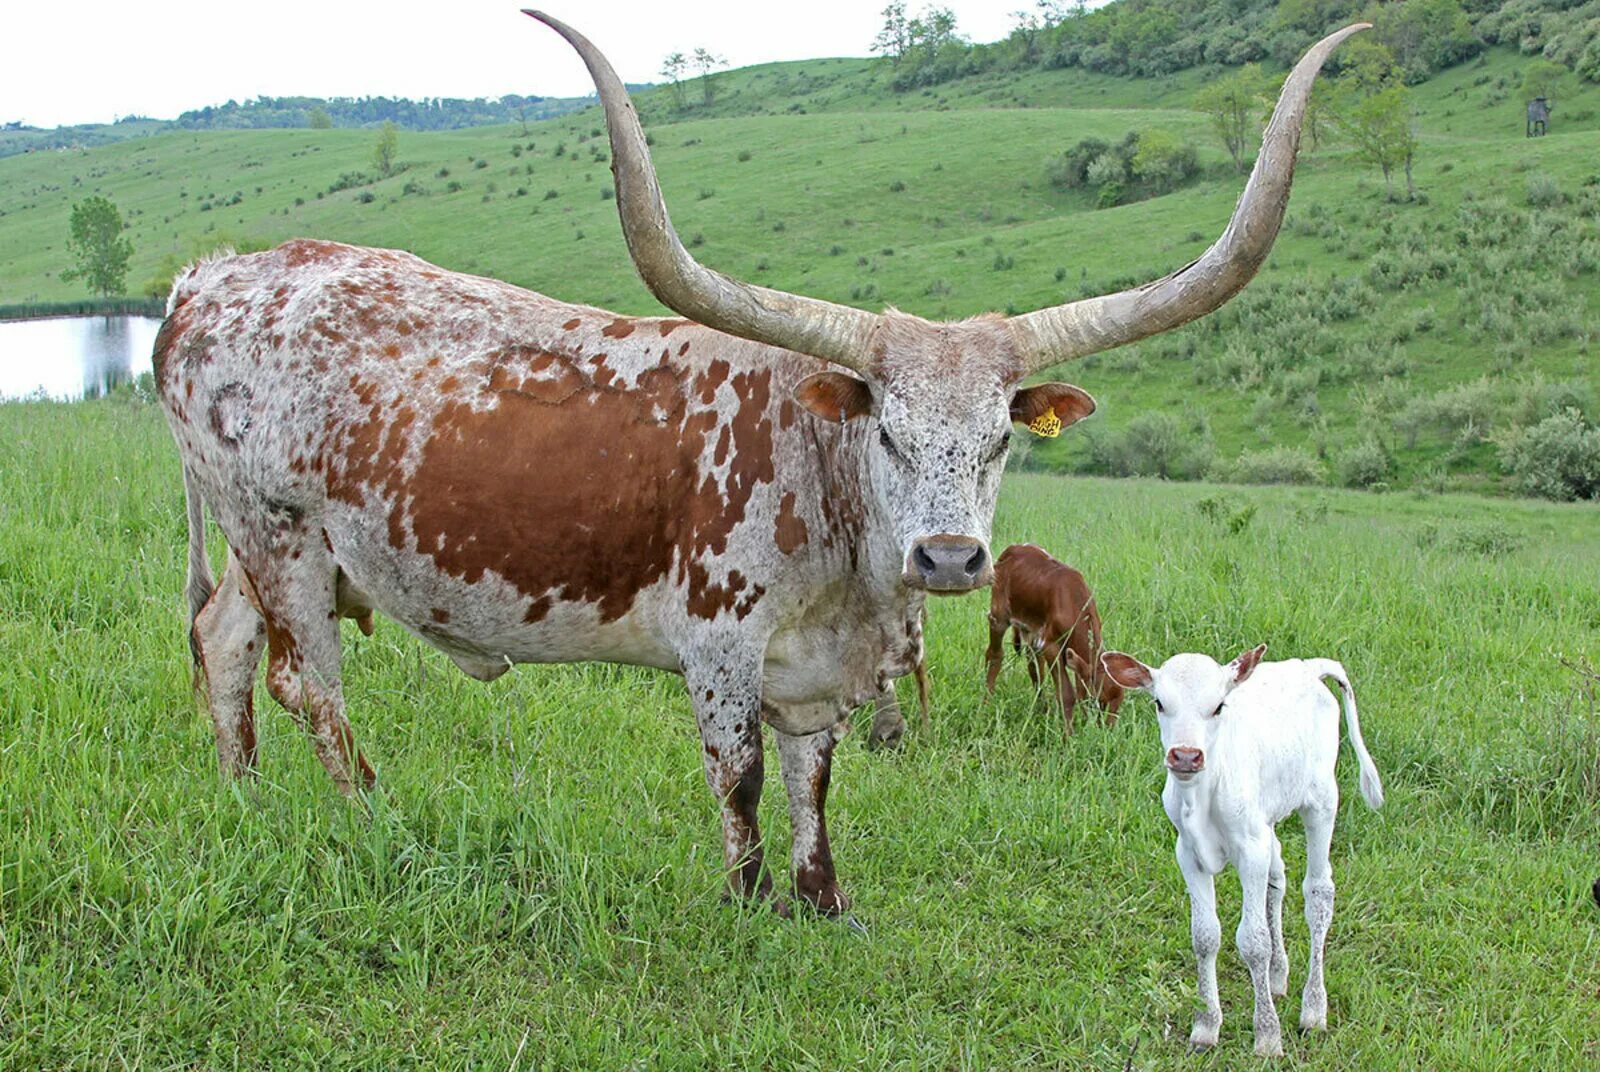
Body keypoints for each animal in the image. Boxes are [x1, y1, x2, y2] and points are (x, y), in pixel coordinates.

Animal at [972, 540, 1126, 736]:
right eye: (1097, 701)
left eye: (1118, 704)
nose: (1106, 733)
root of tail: (1016, 547)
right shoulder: (1050, 645)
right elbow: (1067, 694)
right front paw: (1069, 736)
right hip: (998, 616)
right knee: (995, 655)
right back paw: (985, 705)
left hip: (1030, 629)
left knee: (1034, 666)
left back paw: (1041, 708)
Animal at [1100, 646, 1388, 1056]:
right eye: (1159, 703)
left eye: (1219, 706)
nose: (1185, 756)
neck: (1202, 794)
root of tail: (1308, 667)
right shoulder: (1188, 852)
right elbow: (1205, 935)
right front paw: (1205, 1026)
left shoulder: (1250, 849)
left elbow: (1253, 941)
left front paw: (1267, 1035)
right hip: (1266, 821)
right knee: (1278, 877)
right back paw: (1279, 976)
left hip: (1321, 800)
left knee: (1318, 892)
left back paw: (1313, 1009)